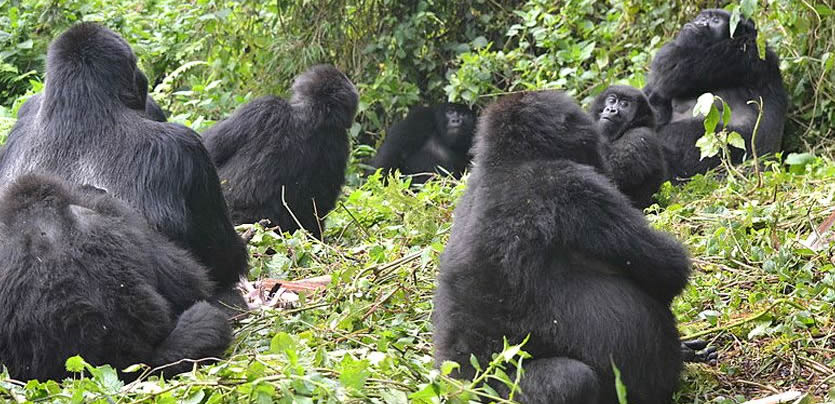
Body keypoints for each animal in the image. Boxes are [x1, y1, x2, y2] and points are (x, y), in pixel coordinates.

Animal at [432, 91, 692, 404]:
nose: (608, 112)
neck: (506, 161)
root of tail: (461, 383)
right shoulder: (574, 186)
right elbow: (670, 270)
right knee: (572, 380)